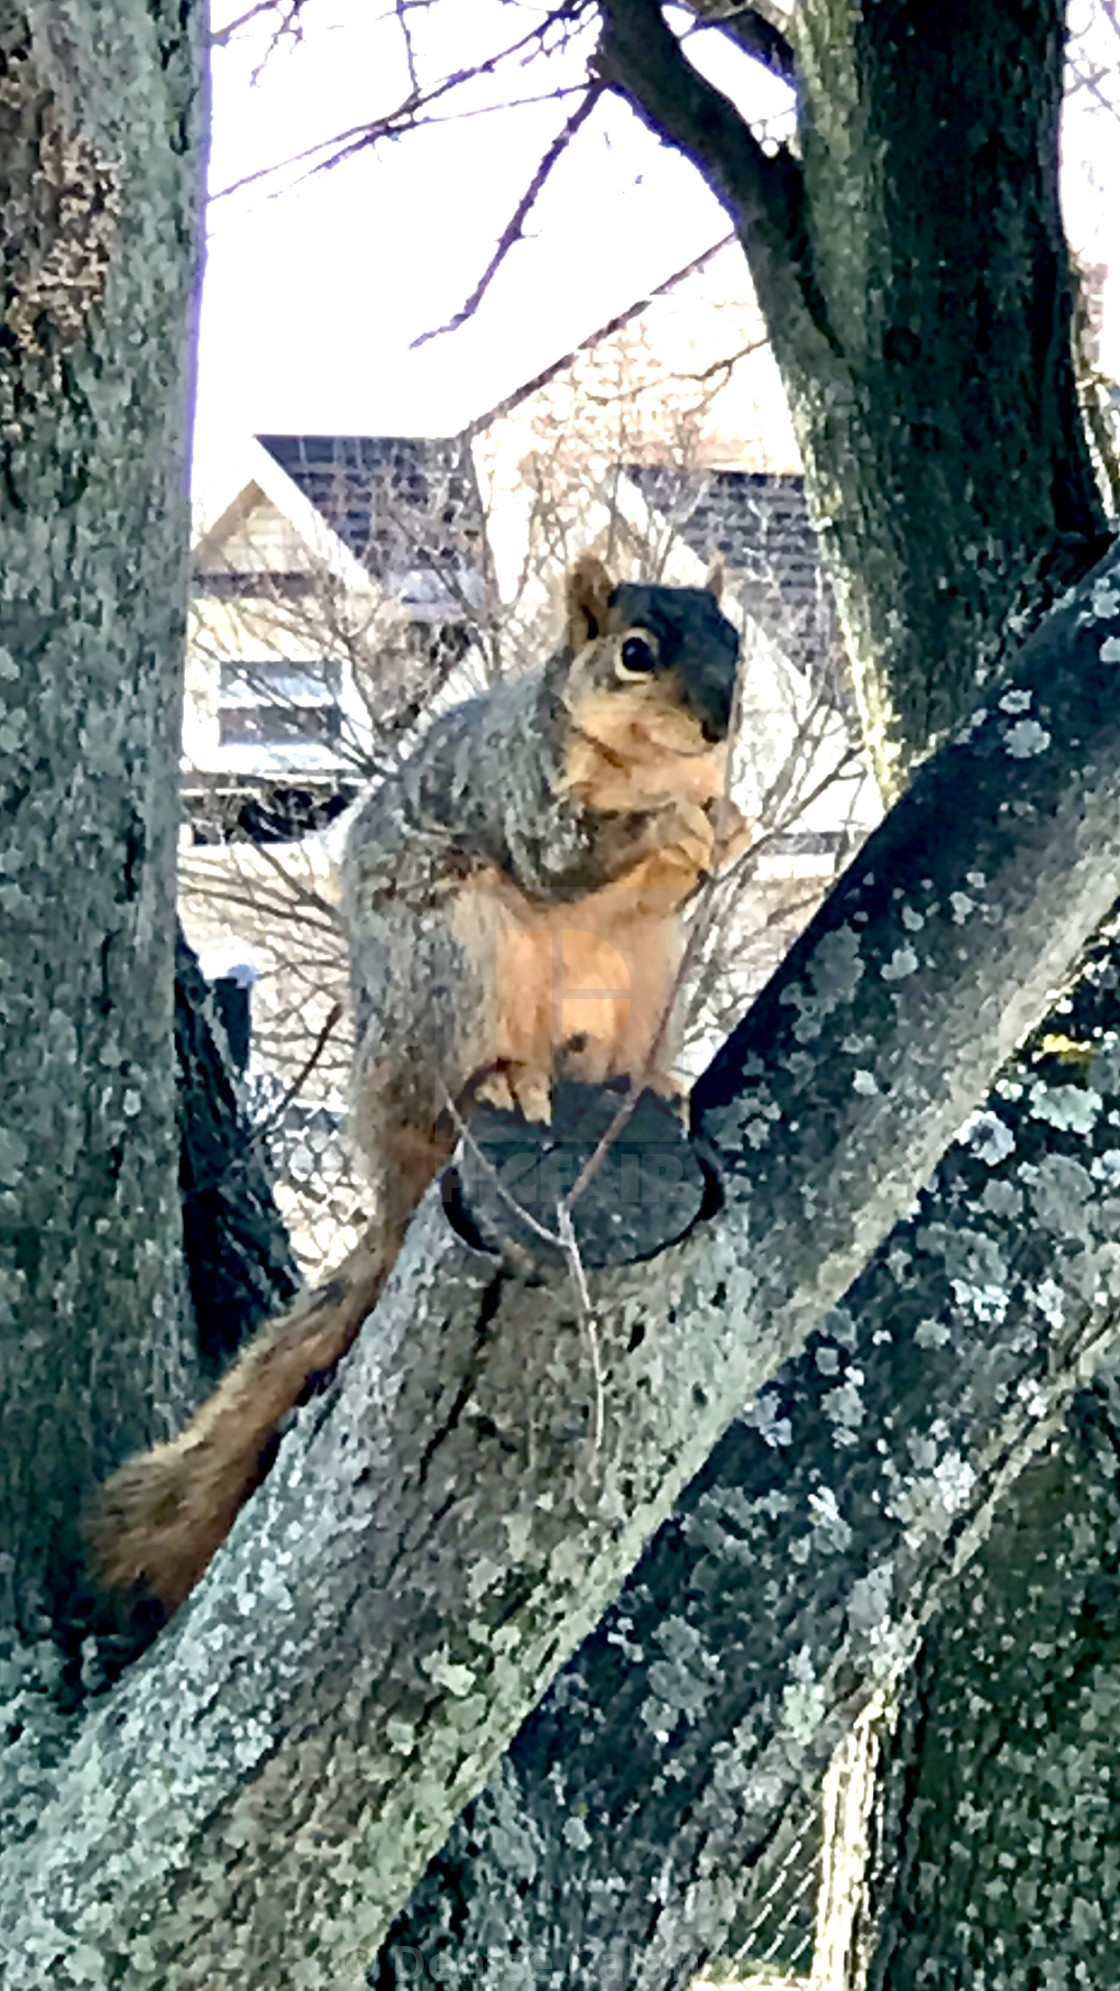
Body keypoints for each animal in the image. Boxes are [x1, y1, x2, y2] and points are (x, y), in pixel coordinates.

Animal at [87, 549, 747, 1616]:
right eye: (636, 653)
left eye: (737, 645)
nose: (719, 726)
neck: (648, 762)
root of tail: (394, 1185)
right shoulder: (520, 790)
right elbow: (562, 856)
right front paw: (670, 823)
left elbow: (687, 873)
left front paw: (723, 826)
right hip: (453, 954)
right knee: (455, 1087)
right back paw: (508, 1080)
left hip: (645, 977)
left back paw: (654, 1084)